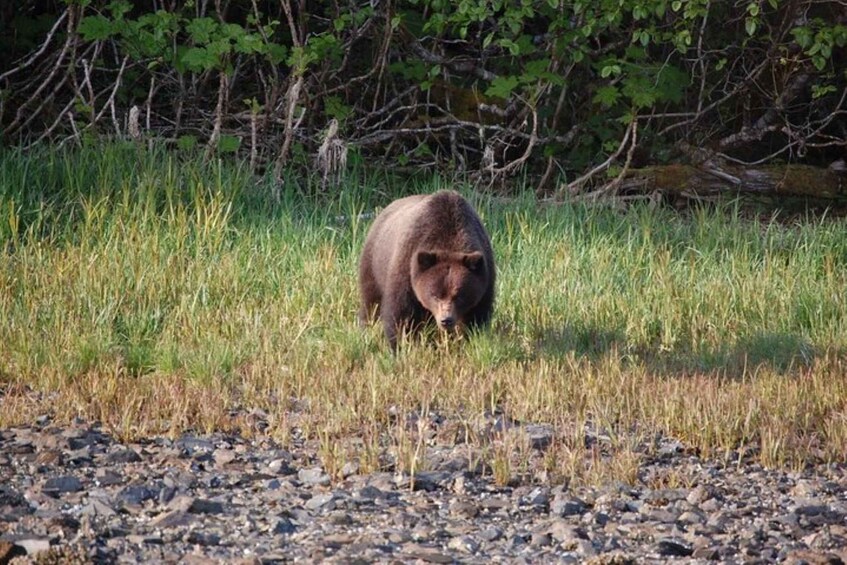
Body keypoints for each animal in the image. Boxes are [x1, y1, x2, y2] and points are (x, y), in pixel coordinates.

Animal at [358, 189, 496, 348]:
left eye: (459, 295)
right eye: (435, 295)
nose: (446, 320)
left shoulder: (485, 276)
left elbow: (476, 316)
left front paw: (470, 339)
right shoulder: (408, 266)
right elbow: (400, 312)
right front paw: (399, 344)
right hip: (374, 262)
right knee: (371, 300)